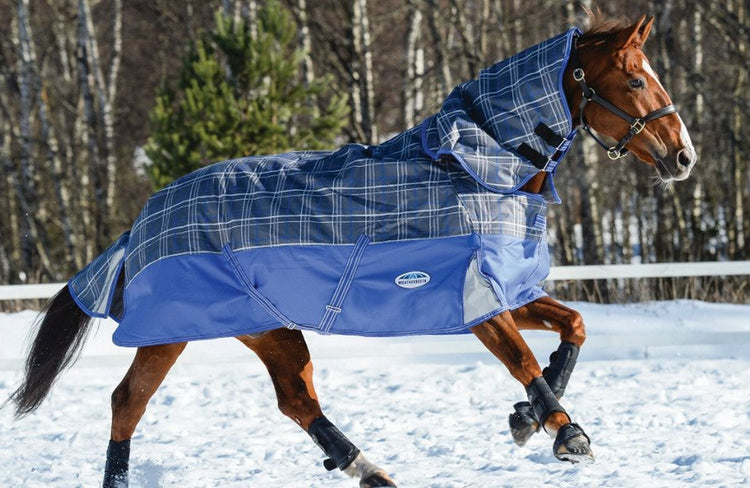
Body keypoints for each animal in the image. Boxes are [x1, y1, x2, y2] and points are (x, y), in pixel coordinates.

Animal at [8, 14, 695, 488]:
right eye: (635, 78)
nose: (683, 156)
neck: (479, 170)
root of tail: (143, 219)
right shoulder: (476, 300)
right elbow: (523, 359)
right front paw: (566, 433)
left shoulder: (506, 292)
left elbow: (573, 326)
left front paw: (527, 419)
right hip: (181, 327)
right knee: (134, 402)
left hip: (264, 328)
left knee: (291, 400)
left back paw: (369, 469)